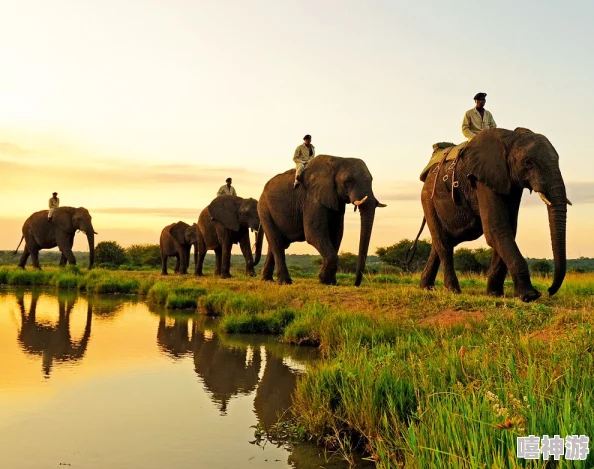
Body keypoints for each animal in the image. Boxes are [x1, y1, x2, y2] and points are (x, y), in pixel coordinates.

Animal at [258, 154, 384, 286]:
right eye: (348, 181)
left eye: (371, 180)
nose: (356, 284)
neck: (338, 159)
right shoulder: (312, 199)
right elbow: (314, 234)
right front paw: (324, 280)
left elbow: (336, 234)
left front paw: (330, 282)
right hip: (264, 209)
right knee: (277, 242)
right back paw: (285, 282)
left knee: (275, 244)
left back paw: (266, 280)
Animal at [412, 128, 568, 302]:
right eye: (529, 163)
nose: (549, 290)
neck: (510, 138)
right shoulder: (482, 179)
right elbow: (496, 229)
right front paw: (529, 296)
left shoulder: (510, 183)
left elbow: (508, 229)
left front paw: (495, 294)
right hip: (428, 199)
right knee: (444, 244)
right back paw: (452, 290)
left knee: (440, 243)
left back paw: (426, 288)